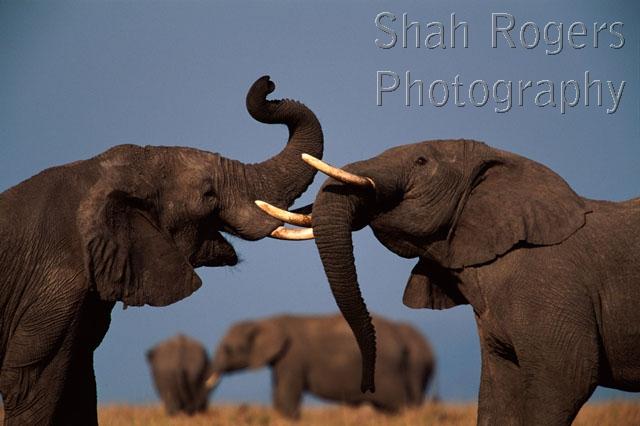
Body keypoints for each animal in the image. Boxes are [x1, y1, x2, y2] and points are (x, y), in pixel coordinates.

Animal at [0, 76, 323, 425]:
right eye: (208, 195)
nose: (268, 83)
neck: (95, 173)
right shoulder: (53, 288)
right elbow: (33, 387)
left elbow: (78, 384)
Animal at [206, 313, 435, 419]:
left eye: (228, 349)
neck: (265, 320)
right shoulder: (281, 361)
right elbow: (279, 392)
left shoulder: (293, 358)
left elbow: (287, 394)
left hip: (389, 373)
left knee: (398, 405)